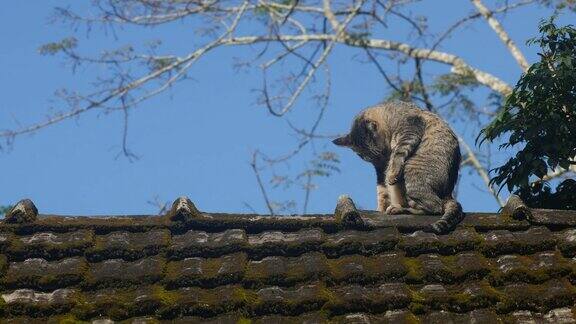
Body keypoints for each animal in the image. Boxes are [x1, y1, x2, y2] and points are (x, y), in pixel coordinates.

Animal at [332, 100, 464, 233]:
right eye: (365, 157)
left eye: (377, 153)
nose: (381, 162)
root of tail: (448, 194)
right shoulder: (380, 171)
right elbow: (382, 191)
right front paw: (379, 208)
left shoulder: (409, 133)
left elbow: (398, 154)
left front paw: (392, 173)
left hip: (411, 171)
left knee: (435, 207)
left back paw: (401, 209)